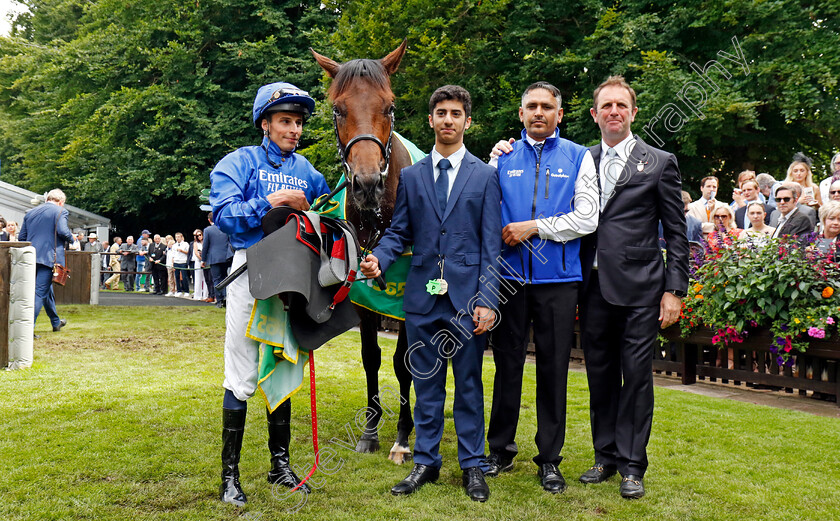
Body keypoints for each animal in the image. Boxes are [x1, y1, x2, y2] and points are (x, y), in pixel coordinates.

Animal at [310, 40, 416, 464]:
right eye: (338, 109)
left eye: (389, 106)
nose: (367, 183)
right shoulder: (365, 297)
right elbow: (371, 357)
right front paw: (370, 432)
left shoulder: (405, 299)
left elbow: (404, 363)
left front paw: (403, 437)